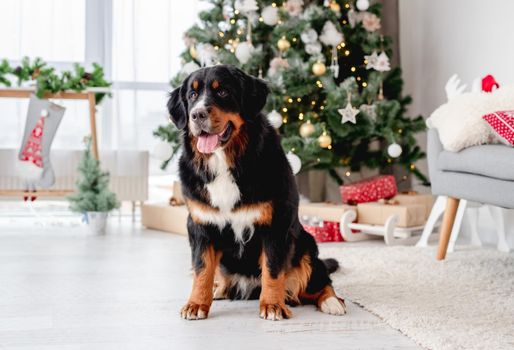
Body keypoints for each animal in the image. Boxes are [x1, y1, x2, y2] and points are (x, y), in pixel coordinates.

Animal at [167, 63, 344, 320]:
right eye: (192, 95)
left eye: (223, 92)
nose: (197, 115)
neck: (225, 162)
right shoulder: (201, 225)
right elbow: (202, 270)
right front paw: (196, 303)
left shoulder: (275, 224)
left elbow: (272, 270)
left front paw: (272, 305)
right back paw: (218, 289)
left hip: (306, 246)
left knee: (321, 281)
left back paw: (332, 302)